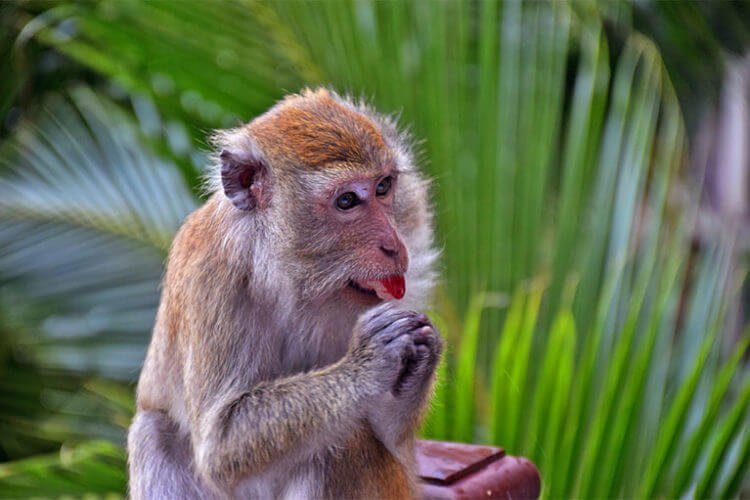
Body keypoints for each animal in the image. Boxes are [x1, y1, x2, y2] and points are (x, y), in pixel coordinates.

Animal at [127, 88, 441, 499]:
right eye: (347, 201)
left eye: (383, 187)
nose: (394, 246)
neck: (291, 276)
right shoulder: (211, 277)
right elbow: (221, 445)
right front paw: (368, 362)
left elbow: (389, 434)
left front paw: (424, 351)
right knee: (154, 432)